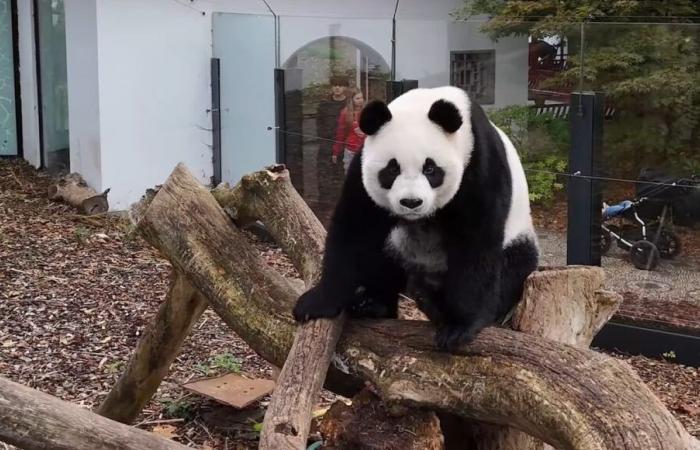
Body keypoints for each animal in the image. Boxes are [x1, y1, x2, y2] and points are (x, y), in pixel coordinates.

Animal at [292, 85, 540, 352]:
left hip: (518, 240)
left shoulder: (478, 163)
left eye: (430, 169)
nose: (411, 202)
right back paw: (377, 304)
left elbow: (475, 241)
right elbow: (355, 229)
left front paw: (459, 326)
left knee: (515, 265)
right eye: (392, 169)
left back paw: (434, 302)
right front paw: (317, 303)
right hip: (400, 249)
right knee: (382, 259)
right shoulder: (362, 169)